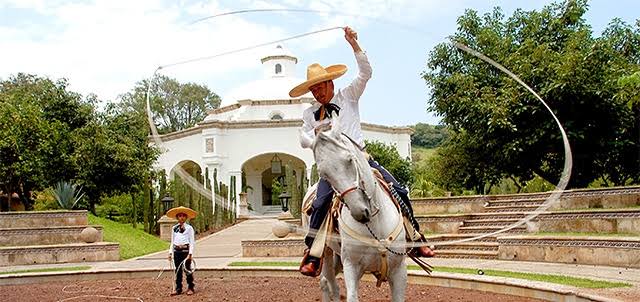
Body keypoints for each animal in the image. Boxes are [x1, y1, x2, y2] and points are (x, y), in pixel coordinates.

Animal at [302, 124, 408, 300]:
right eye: (324, 174)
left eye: (350, 159)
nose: (360, 212)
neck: (376, 225)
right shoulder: (351, 266)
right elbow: (351, 296)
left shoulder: (399, 270)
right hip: (326, 252)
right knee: (329, 283)